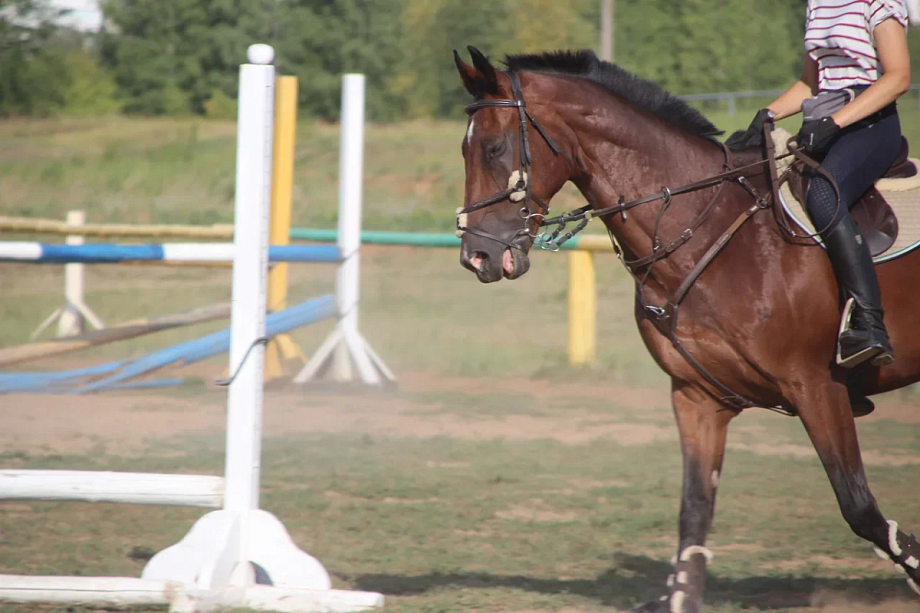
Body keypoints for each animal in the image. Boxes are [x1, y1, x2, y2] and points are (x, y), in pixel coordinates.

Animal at [452, 47, 920, 612]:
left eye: (495, 148)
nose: (476, 256)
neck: (706, 226)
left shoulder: (816, 387)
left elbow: (858, 506)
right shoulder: (697, 396)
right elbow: (694, 508)